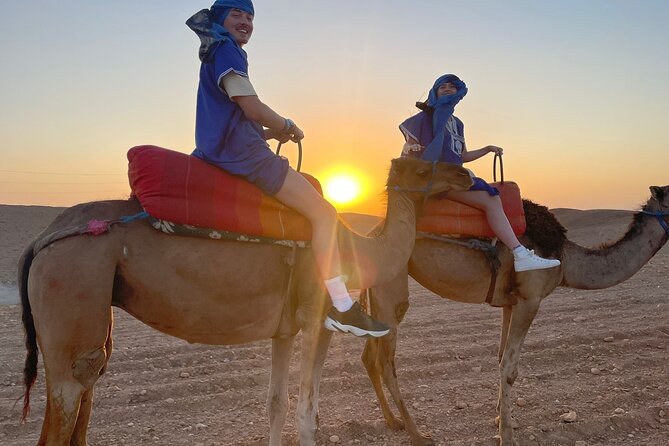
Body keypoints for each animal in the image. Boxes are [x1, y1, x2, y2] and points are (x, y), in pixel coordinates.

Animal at [18, 157, 472, 446]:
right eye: (422, 165)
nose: (465, 174)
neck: (358, 249)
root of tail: (42, 241)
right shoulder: (317, 318)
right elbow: (307, 414)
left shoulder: (285, 329)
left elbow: (277, 405)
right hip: (72, 283)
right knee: (69, 396)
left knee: (88, 386)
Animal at [360, 185, 668, 446]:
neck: (565, 260)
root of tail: (370, 233)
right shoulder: (530, 300)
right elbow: (509, 368)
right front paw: (506, 435)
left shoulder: (510, 302)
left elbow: (501, 358)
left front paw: (499, 415)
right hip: (392, 286)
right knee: (385, 362)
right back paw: (418, 434)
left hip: (377, 288)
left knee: (369, 356)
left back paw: (393, 422)